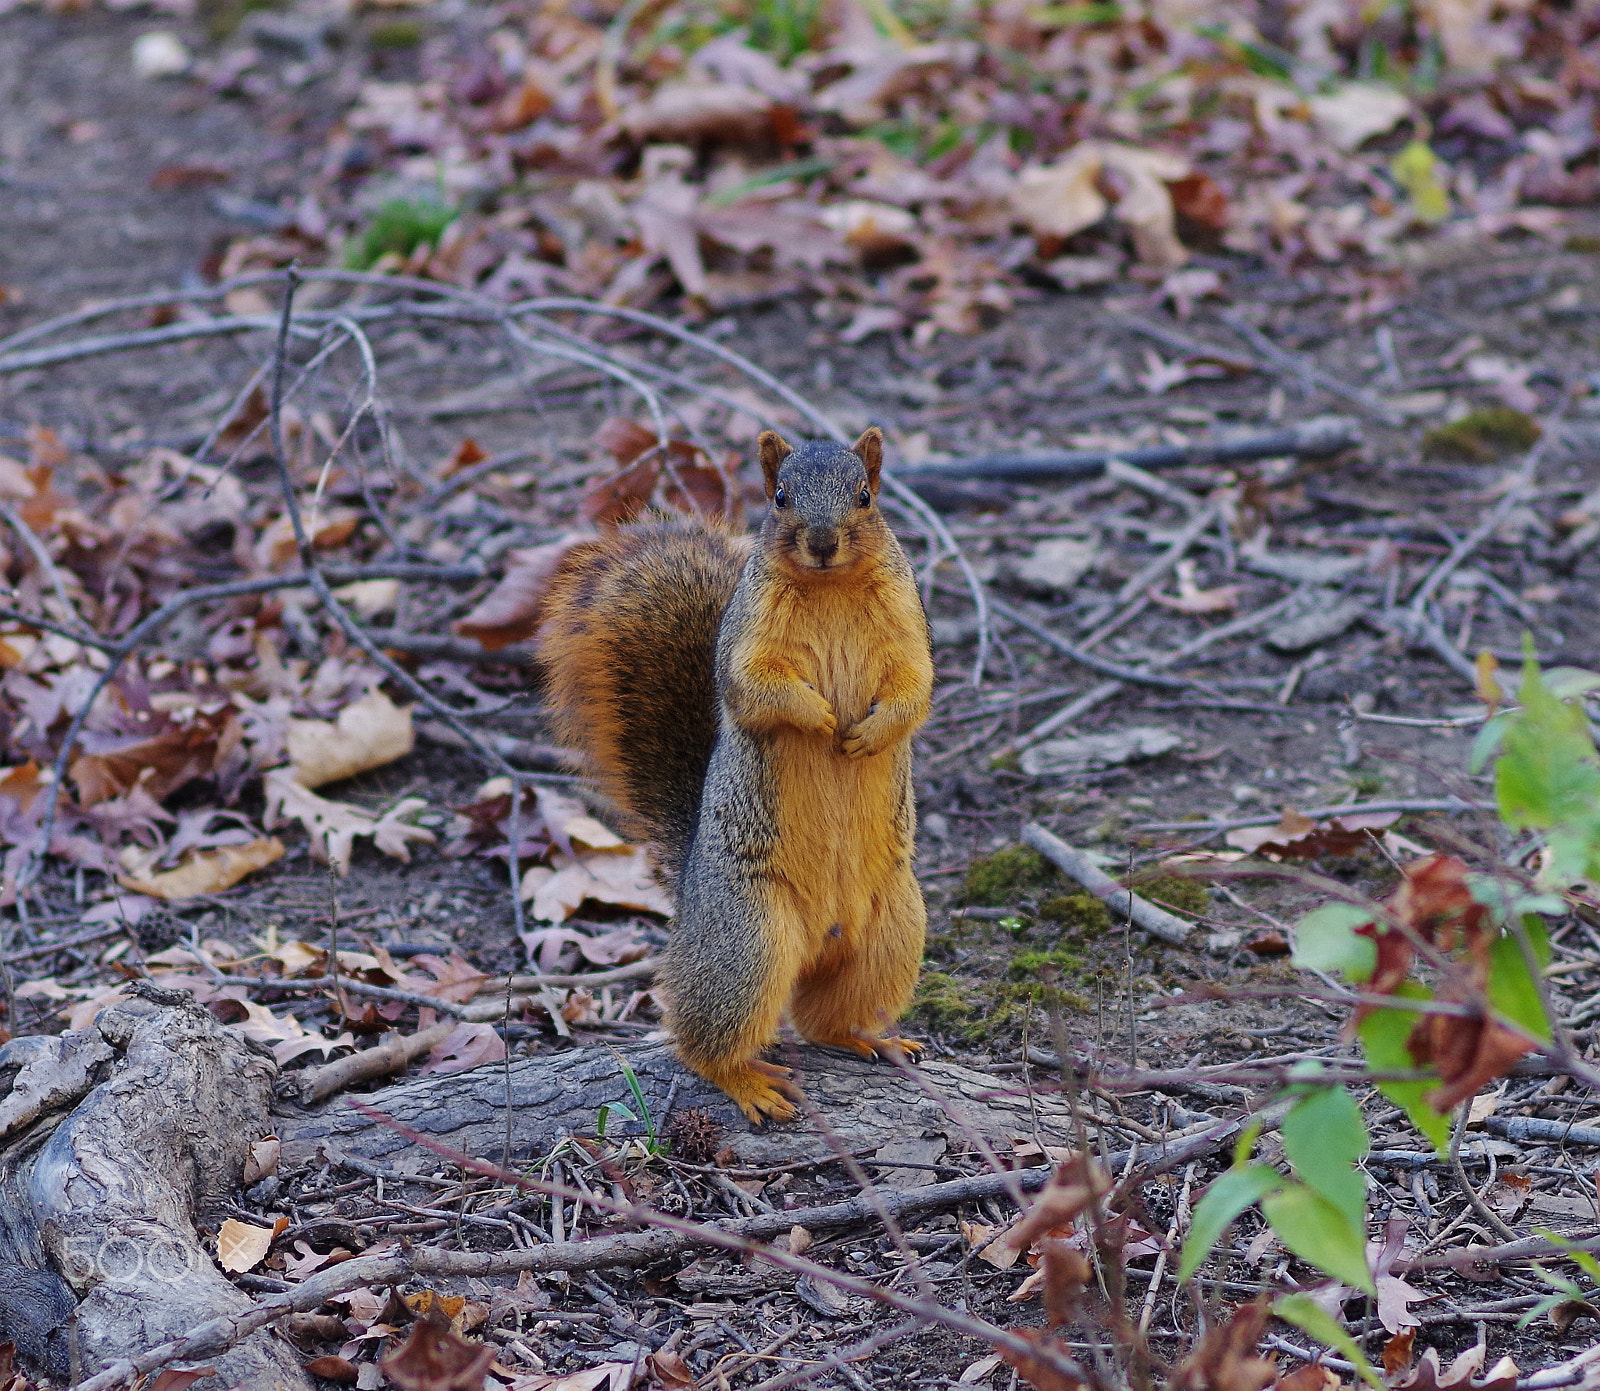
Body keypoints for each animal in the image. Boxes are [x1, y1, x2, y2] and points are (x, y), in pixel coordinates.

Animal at [540, 422, 934, 1120]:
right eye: (779, 497)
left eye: (865, 496)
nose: (823, 542)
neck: (829, 587)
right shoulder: (748, 643)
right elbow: (756, 689)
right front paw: (821, 721)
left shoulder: (908, 628)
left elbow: (916, 689)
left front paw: (867, 733)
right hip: (749, 939)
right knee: (700, 1043)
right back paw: (748, 1082)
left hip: (892, 929)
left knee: (824, 1020)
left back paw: (871, 1039)